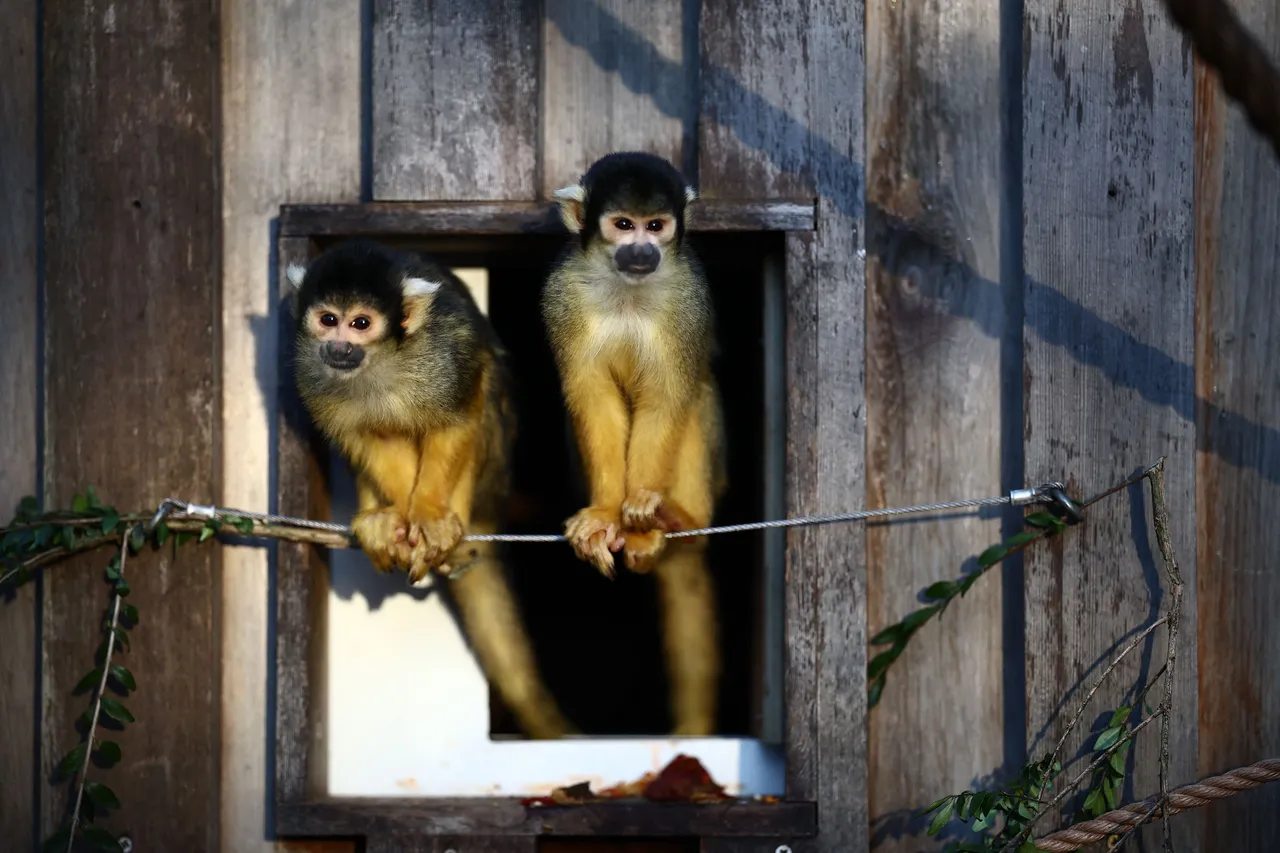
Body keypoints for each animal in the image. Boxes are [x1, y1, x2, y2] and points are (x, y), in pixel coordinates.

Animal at [287, 239, 573, 740]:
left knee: (485, 383)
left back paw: (450, 525)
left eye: (361, 323)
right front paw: (400, 521)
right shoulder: (309, 369)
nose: (338, 345)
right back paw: (377, 519)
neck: (381, 361)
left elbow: (457, 413)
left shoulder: (444, 353)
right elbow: (364, 437)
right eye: (327, 318)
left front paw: (429, 517)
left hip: (493, 475)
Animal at [541, 152, 727, 735]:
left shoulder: (692, 296)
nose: (643, 249)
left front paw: (640, 513)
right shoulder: (562, 294)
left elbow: (667, 398)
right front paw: (605, 515)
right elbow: (591, 397)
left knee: (696, 396)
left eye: (656, 225)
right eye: (624, 225)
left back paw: (676, 522)